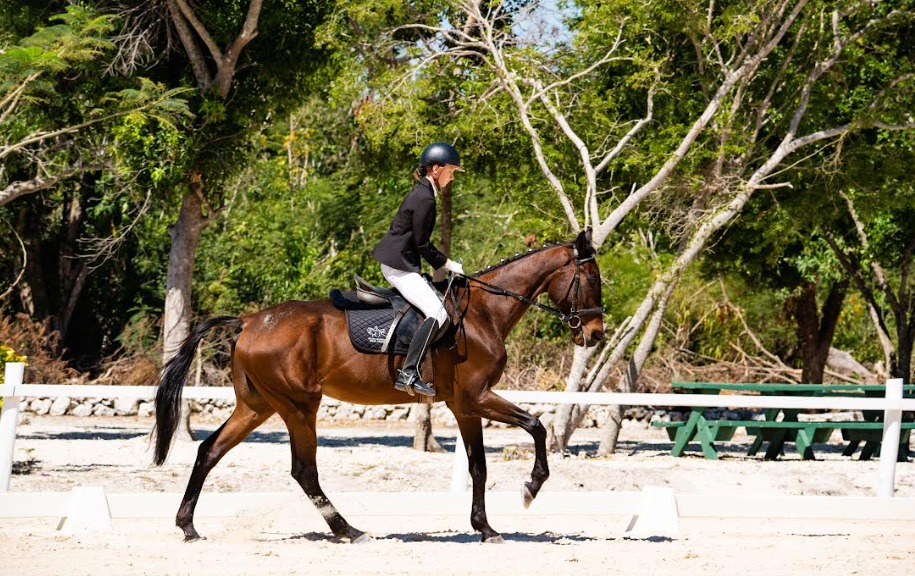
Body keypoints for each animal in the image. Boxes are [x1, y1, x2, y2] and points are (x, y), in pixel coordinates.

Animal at [154, 228, 604, 540]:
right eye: (593, 280)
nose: (596, 334)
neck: (483, 312)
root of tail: (248, 321)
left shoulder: (464, 405)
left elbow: (479, 465)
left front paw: (485, 528)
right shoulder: (478, 396)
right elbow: (536, 426)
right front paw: (531, 488)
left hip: (257, 406)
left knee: (210, 451)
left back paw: (187, 526)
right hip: (299, 406)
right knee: (304, 471)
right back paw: (348, 530)